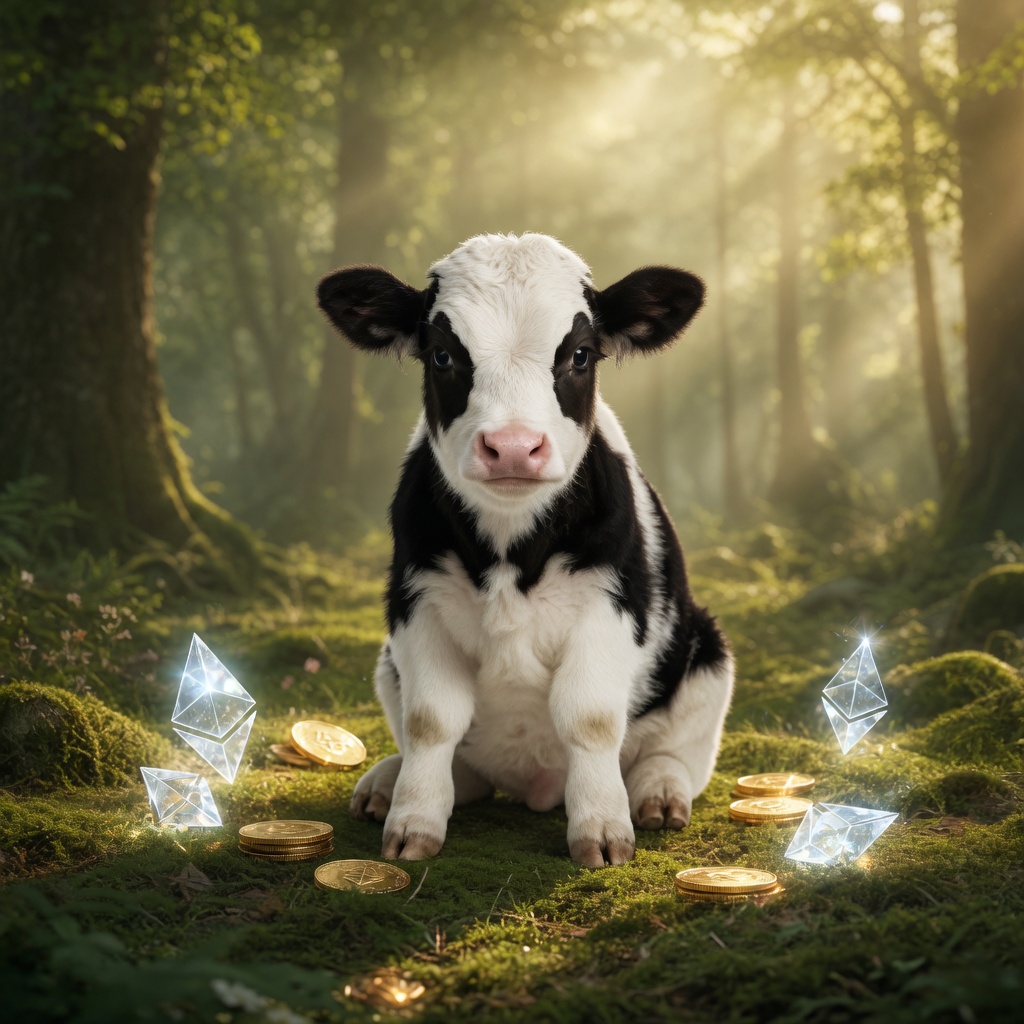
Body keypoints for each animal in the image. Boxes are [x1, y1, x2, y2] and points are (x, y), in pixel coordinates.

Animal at [317, 233, 733, 868]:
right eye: (442, 355)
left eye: (581, 355)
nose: (513, 447)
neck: (510, 552)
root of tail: (535, 784)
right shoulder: (415, 600)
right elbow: (430, 720)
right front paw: (413, 825)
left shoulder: (612, 602)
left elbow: (590, 718)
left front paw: (602, 832)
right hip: (388, 664)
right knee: (459, 762)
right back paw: (385, 785)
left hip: (708, 654)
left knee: (674, 751)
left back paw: (658, 794)